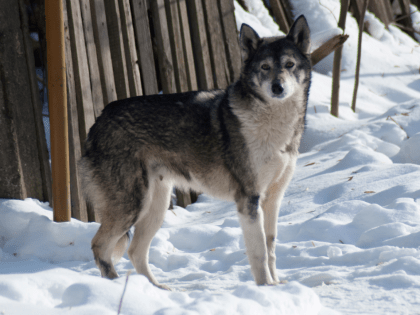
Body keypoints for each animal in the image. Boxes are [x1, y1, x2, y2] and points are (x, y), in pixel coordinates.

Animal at [80, 16, 312, 290]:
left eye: (289, 65)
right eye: (265, 67)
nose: (278, 87)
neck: (274, 125)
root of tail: (97, 122)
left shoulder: (272, 199)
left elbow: (271, 247)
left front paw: (277, 286)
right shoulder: (249, 199)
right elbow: (260, 253)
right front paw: (266, 288)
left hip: (155, 207)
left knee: (135, 251)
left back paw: (156, 290)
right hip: (132, 205)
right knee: (100, 246)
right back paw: (118, 287)